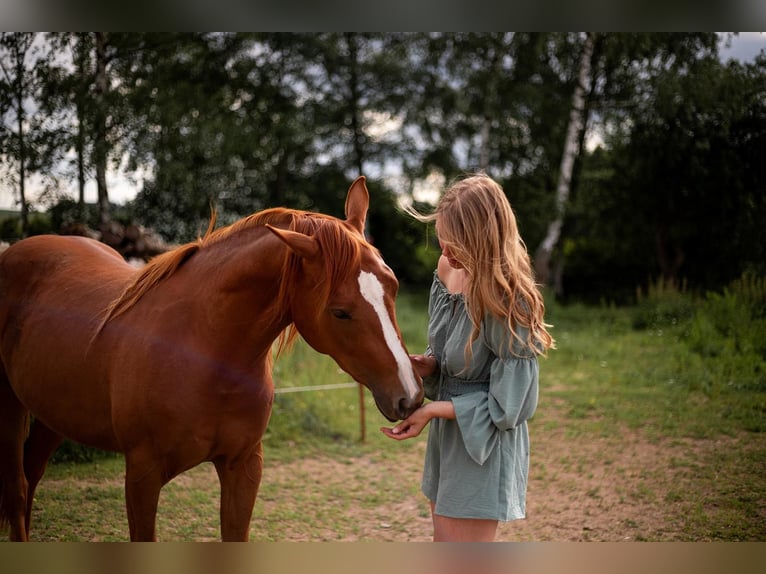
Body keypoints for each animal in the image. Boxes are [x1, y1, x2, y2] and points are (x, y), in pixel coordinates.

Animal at [0, 176, 423, 541]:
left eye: (393, 287)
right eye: (340, 312)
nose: (411, 396)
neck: (203, 353)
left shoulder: (243, 467)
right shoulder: (141, 474)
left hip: (53, 412)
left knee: (31, 473)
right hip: (12, 407)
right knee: (17, 489)